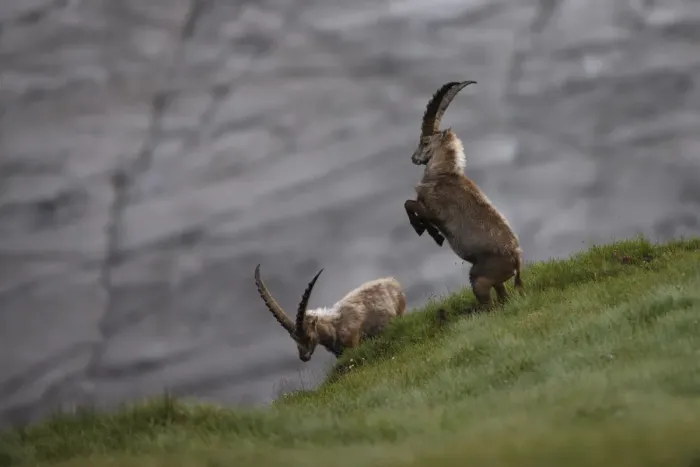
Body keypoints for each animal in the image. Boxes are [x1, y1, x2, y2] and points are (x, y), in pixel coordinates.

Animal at [254, 264, 406, 362]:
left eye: (308, 336)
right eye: (294, 339)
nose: (304, 357)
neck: (334, 327)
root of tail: (393, 282)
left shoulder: (353, 343)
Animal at [404, 80, 524, 309]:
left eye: (425, 141)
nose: (414, 158)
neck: (444, 174)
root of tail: (516, 261)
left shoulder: (435, 209)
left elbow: (409, 204)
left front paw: (428, 232)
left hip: (480, 277)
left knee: (488, 302)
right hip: (495, 280)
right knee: (502, 296)